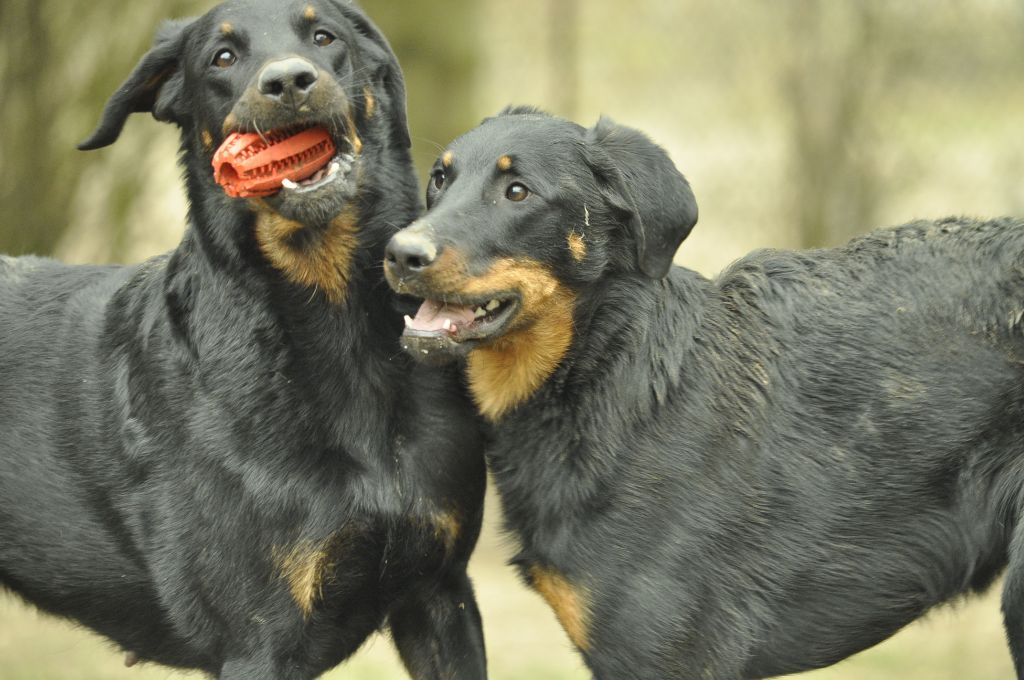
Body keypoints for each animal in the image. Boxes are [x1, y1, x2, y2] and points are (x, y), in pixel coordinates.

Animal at [0, 2, 487, 675]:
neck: (337, 329)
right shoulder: (259, 641)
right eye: (223, 58)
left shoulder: (441, 594)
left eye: (324, 36)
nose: (288, 82)